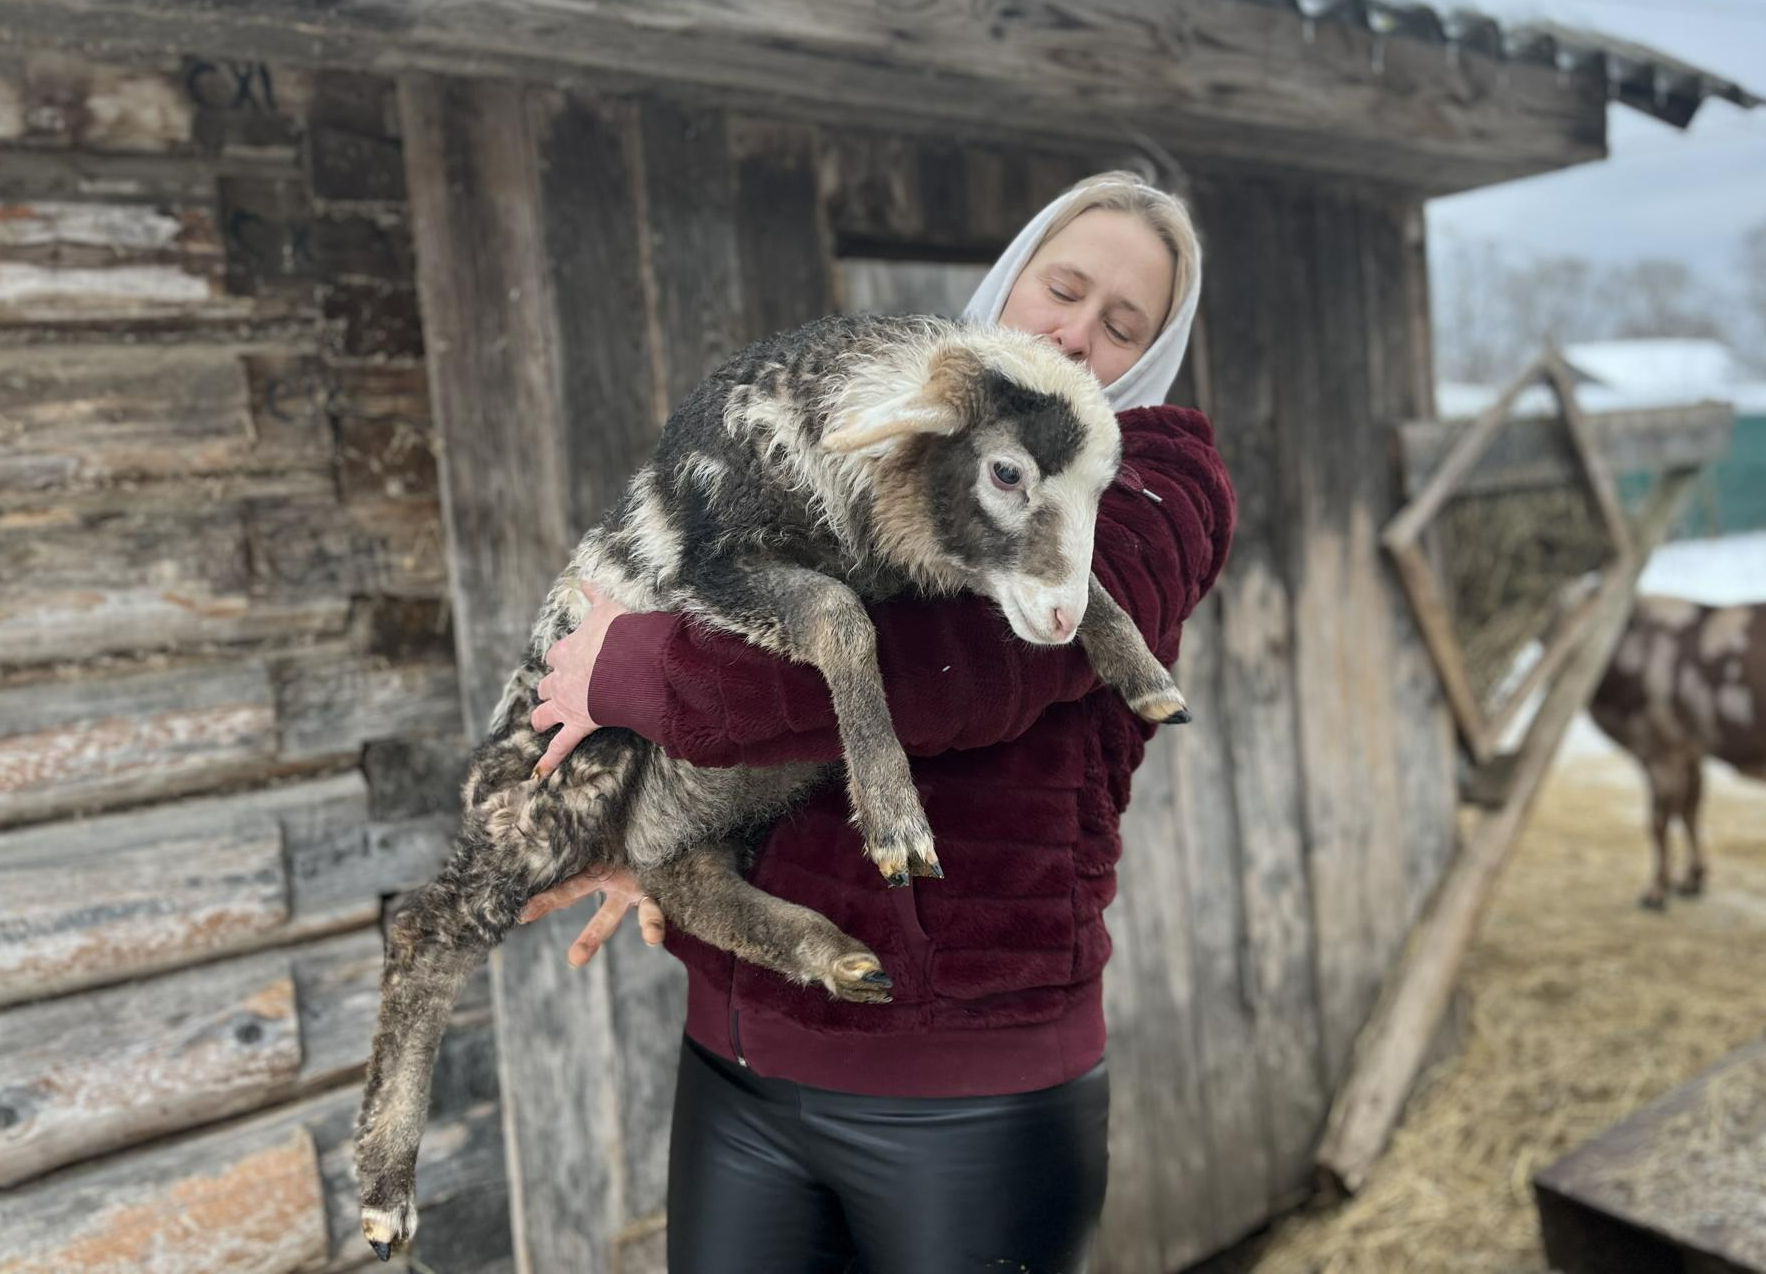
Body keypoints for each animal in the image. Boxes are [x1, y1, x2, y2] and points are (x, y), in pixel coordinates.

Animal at [1596, 590, 1758, 911]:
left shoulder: (1658, 746)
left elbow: (1658, 820)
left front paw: (1656, 892)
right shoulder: (1690, 749)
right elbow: (1689, 808)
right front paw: (1692, 879)